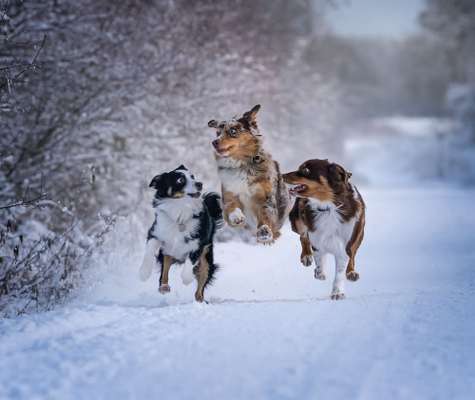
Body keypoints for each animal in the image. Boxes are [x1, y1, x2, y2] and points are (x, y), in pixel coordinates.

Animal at [139, 164, 223, 302]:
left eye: (193, 177)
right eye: (180, 180)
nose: (199, 184)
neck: (181, 209)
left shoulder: (198, 242)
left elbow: (190, 264)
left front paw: (187, 278)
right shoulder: (156, 232)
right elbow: (149, 252)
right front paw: (143, 273)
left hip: (207, 257)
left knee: (201, 282)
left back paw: (199, 300)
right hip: (167, 251)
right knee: (165, 270)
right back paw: (164, 287)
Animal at [208, 104, 290, 244]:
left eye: (233, 131)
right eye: (218, 133)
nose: (214, 142)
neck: (242, 164)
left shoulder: (265, 197)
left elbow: (265, 213)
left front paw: (264, 232)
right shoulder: (229, 193)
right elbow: (231, 207)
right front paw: (237, 217)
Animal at [284, 159, 366, 300]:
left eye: (306, 170)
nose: (282, 175)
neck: (328, 206)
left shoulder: (344, 244)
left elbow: (340, 271)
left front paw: (337, 292)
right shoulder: (316, 237)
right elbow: (318, 258)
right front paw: (319, 272)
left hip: (359, 233)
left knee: (353, 254)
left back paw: (351, 273)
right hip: (298, 220)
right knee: (303, 236)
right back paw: (306, 257)